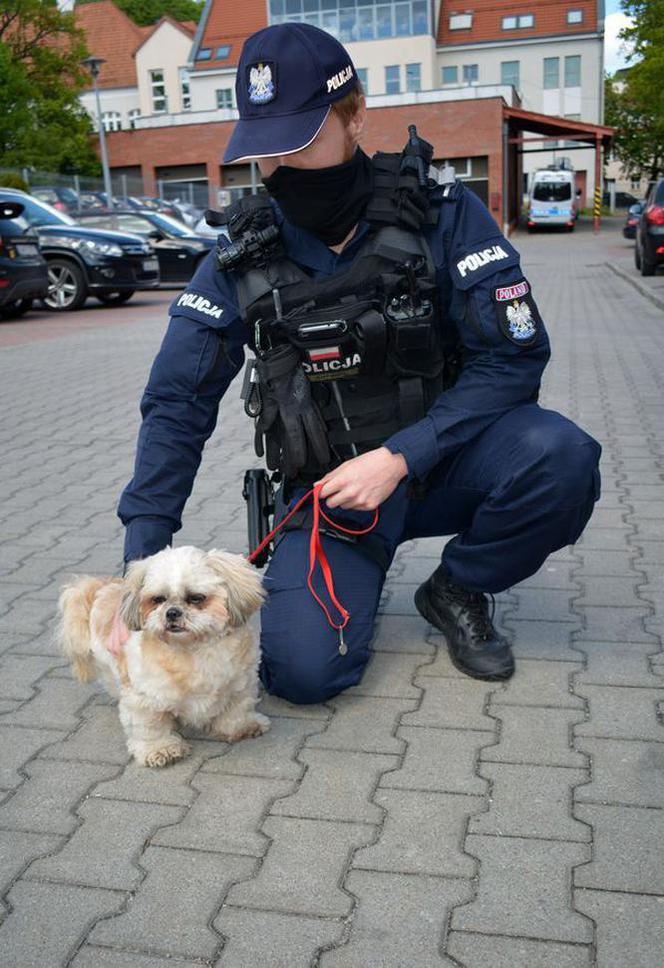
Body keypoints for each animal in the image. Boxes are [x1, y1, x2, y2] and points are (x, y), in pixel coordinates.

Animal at [57, 548, 268, 768]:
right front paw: (161, 748)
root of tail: (98, 587)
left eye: (196, 598)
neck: (194, 651)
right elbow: (149, 726)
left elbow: (238, 707)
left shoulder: (242, 682)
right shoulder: (145, 697)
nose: (172, 612)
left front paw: (242, 726)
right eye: (158, 599)